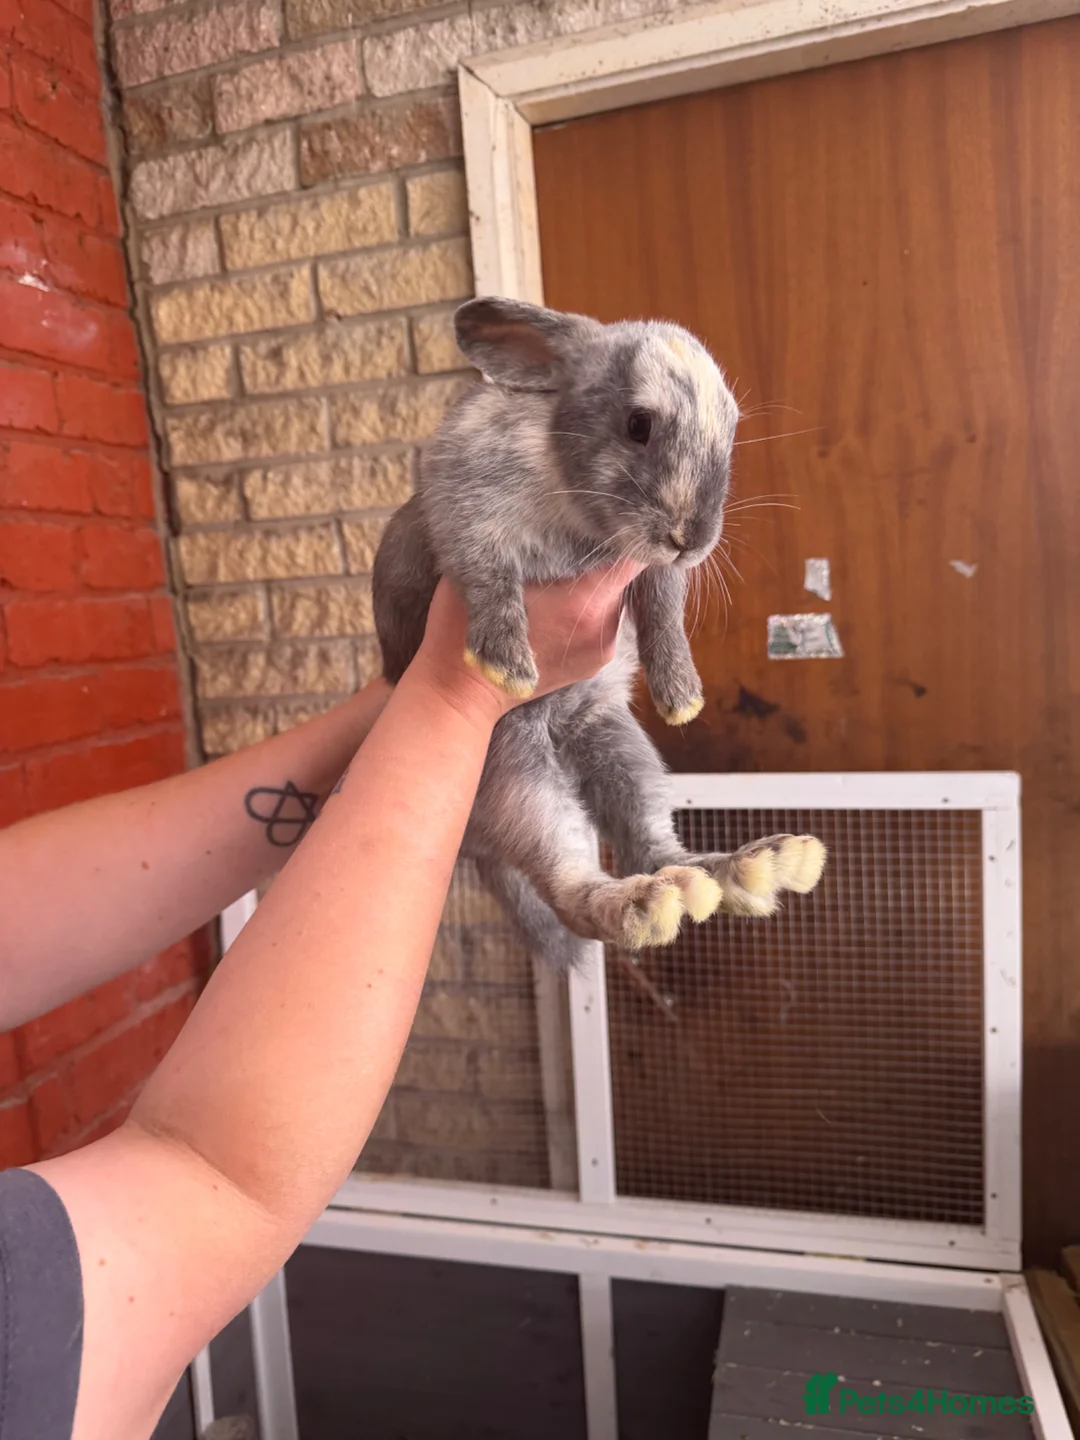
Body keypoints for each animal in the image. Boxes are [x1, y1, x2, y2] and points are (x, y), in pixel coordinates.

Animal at [372, 297, 825, 968]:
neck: (576, 502)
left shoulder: (654, 574)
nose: (692, 539)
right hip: (514, 771)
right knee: (572, 891)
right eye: (638, 424)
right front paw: (506, 664)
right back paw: (644, 904)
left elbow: (665, 616)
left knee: (654, 850)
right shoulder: (465, 512)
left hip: (619, 747)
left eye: (732, 430)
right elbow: (488, 577)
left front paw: (681, 698)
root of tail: (474, 844)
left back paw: (752, 867)